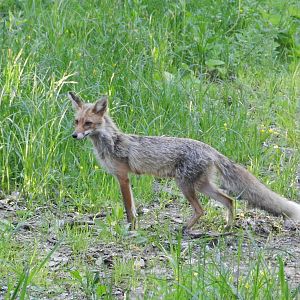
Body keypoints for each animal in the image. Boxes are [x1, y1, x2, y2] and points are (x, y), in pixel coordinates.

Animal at [68, 91, 300, 230]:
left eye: (88, 123)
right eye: (76, 121)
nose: (74, 135)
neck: (111, 142)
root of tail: (209, 148)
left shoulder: (123, 177)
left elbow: (129, 209)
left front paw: (131, 228)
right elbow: (131, 208)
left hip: (185, 185)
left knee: (202, 209)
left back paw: (186, 228)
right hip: (202, 186)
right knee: (229, 200)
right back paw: (227, 226)